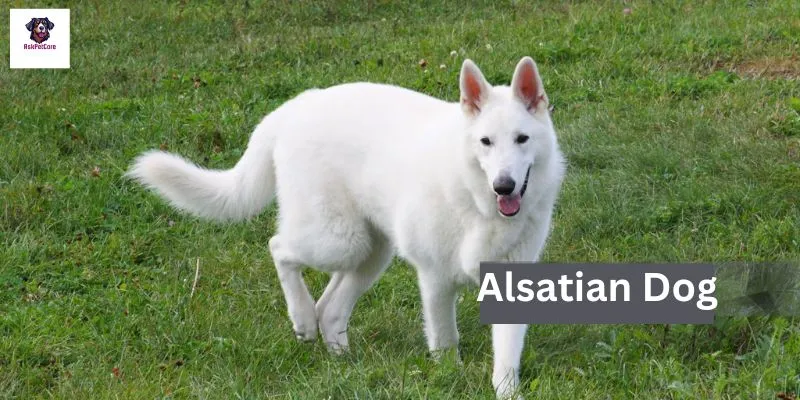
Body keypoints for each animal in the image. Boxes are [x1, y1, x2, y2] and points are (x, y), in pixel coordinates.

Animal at [128, 57, 564, 400]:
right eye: (485, 142)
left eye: (522, 139)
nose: (503, 186)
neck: (478, 204)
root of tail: (297, 104)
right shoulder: (436, 279)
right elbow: (445, 340)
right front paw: (448, 379)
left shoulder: (510, 286)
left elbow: (506, 356)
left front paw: (507, 392)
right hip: (337, 240)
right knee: (279, 248)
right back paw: (302, 319)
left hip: (370, 251)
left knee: (332, 308)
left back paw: (340, 360)